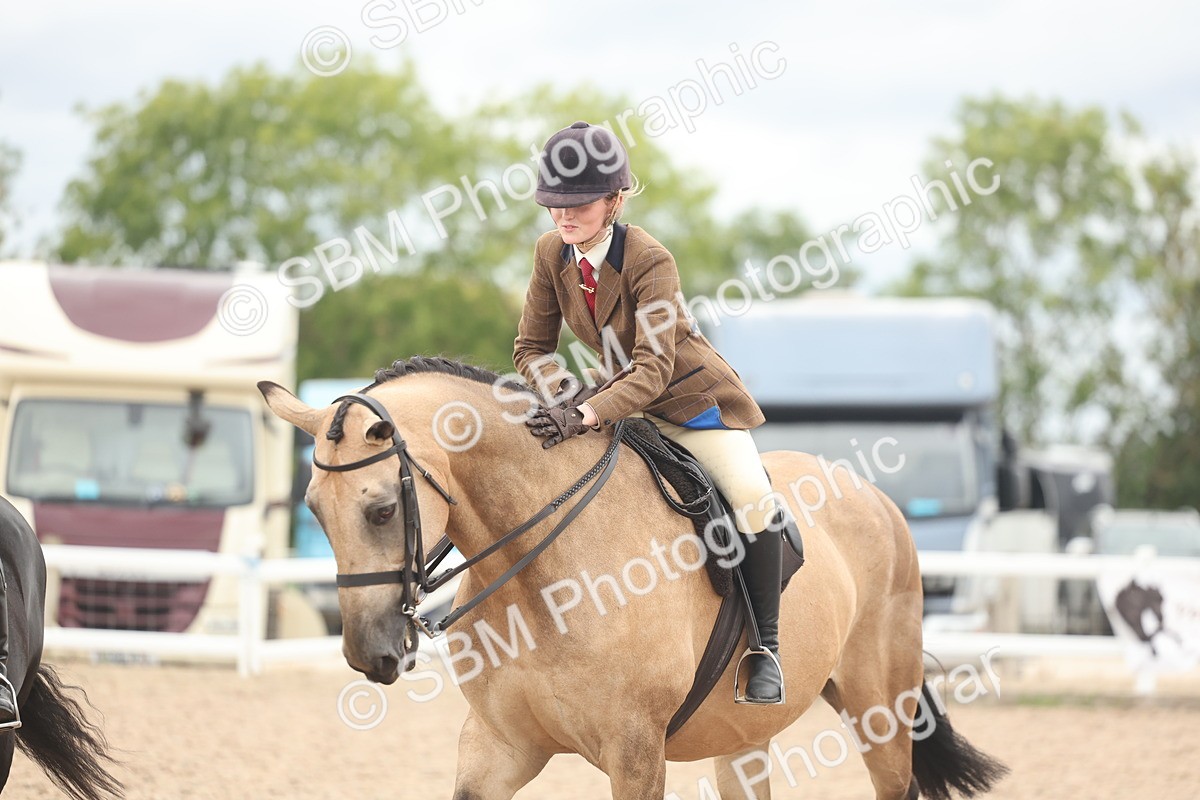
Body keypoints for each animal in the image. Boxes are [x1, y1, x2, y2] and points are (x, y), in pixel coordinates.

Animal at [259, 356, 1007, 800]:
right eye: (312, 509)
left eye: (383, 509)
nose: (371, 656)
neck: (543, 582)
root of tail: (875, 497)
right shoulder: (497, 747)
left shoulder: (635, 753)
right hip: (745, 737)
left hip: (881, 710)